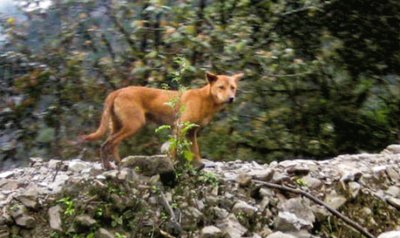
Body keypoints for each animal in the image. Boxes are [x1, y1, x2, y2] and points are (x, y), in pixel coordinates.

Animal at [83, 72, 242, 169]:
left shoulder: (191, 131)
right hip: (134, 125)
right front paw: (173, 164)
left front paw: (198, 164)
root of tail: (118, 91)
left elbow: (195, 150)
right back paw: (109, 166)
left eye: (233, 88)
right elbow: (174, 150)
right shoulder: (179, 127)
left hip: (119, 126)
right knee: (108, 144)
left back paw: (117, 163)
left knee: (110, 144)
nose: (231, 98)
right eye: (221, 87)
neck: (205, 100)